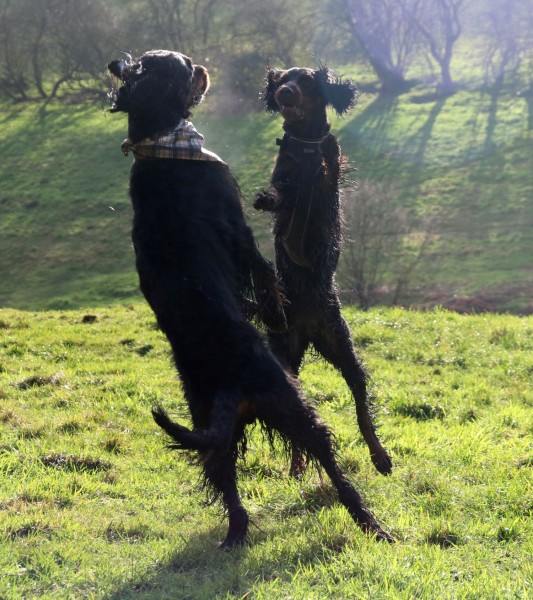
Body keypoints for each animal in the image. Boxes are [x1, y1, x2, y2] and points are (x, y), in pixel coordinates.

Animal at [254, 66, 392, 477]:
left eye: (305, 81)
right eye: (283, 78)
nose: (283, 91)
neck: (304, 145)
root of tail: (309, 327)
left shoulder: (324, 203)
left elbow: (328, 172)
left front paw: (327, 153)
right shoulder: (285, 186)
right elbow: (280, 194)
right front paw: (266, 197)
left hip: (343, 349)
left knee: (363, 410)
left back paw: (380, 456)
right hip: (287, 353)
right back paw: (298, 465)